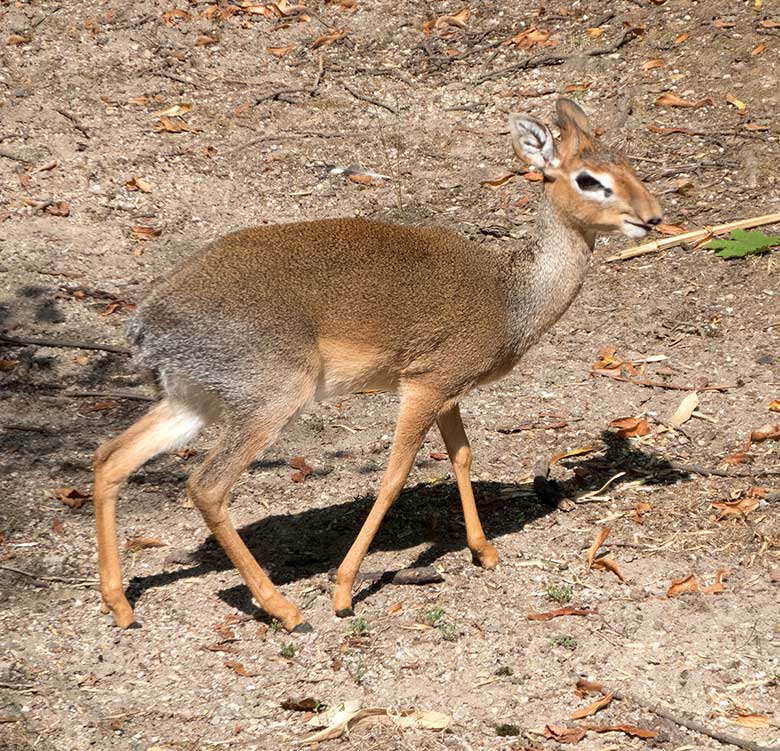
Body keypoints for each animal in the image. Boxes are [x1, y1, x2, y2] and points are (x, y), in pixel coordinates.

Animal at [93, 97, 664, 632]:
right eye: (588, 179)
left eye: (626, 162)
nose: (652, 216)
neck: (511, 297)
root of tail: (145, 323)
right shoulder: (424, 386)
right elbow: (393, 477)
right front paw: (345, 591)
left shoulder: (445, 388)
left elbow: (462, 456)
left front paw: (484, 551)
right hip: (271, 399)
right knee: (205, 486)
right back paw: (286, 610)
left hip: (191, 401)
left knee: (110, 457)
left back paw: (121, 605)